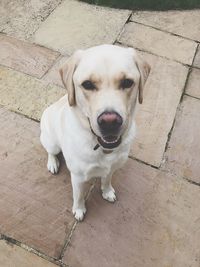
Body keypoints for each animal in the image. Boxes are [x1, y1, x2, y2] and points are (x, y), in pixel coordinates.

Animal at [40, 45, 150, 222]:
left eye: (127, 82)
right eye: (87, 84)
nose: (110, 122)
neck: (103, 149)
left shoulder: (112, 167)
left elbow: (107, 179)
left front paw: (107, 191)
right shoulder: (77, 177)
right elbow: (78, 196)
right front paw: (79, 210)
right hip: (51, 142)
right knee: (50, 151)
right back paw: (53, 163)